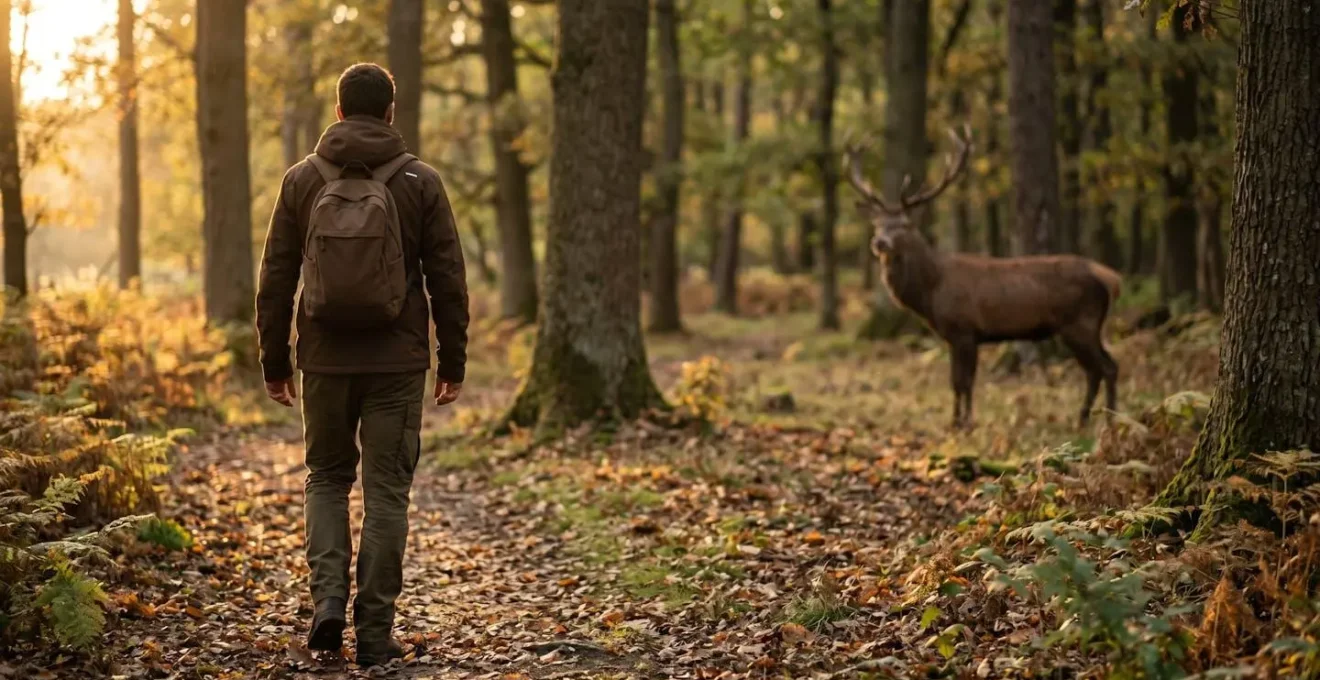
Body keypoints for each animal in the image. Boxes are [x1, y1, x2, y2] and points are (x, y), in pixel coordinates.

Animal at [844, 126, 1121, 429]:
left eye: (904, 225)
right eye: (877, 224)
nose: (879, 242)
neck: (931, 291)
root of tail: (1110, 279)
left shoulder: (965, 329)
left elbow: (964, 381)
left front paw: (965, 424)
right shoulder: (952, 336)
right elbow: (956, 381)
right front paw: (955, 422)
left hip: (1080, 323)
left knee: (1106, 367)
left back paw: (1108, 421)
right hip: (1084, 327)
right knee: (1100, 368)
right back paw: (1086, 419)